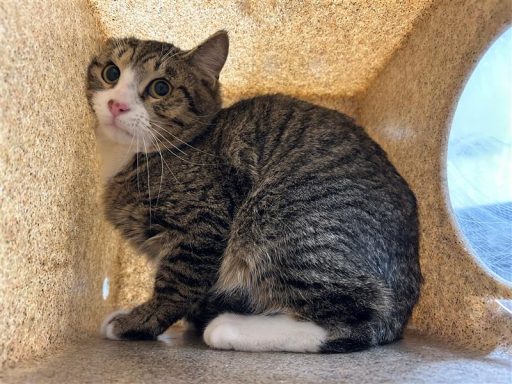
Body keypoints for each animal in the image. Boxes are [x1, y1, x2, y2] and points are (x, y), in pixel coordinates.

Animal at [87, 30, 420, 354]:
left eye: (160, 88)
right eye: (111, 72)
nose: (117, 104)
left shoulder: (203, 225)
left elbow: (176, 285)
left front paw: (137, 322)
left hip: (282, 219)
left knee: (358, 318)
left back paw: (229, 327)